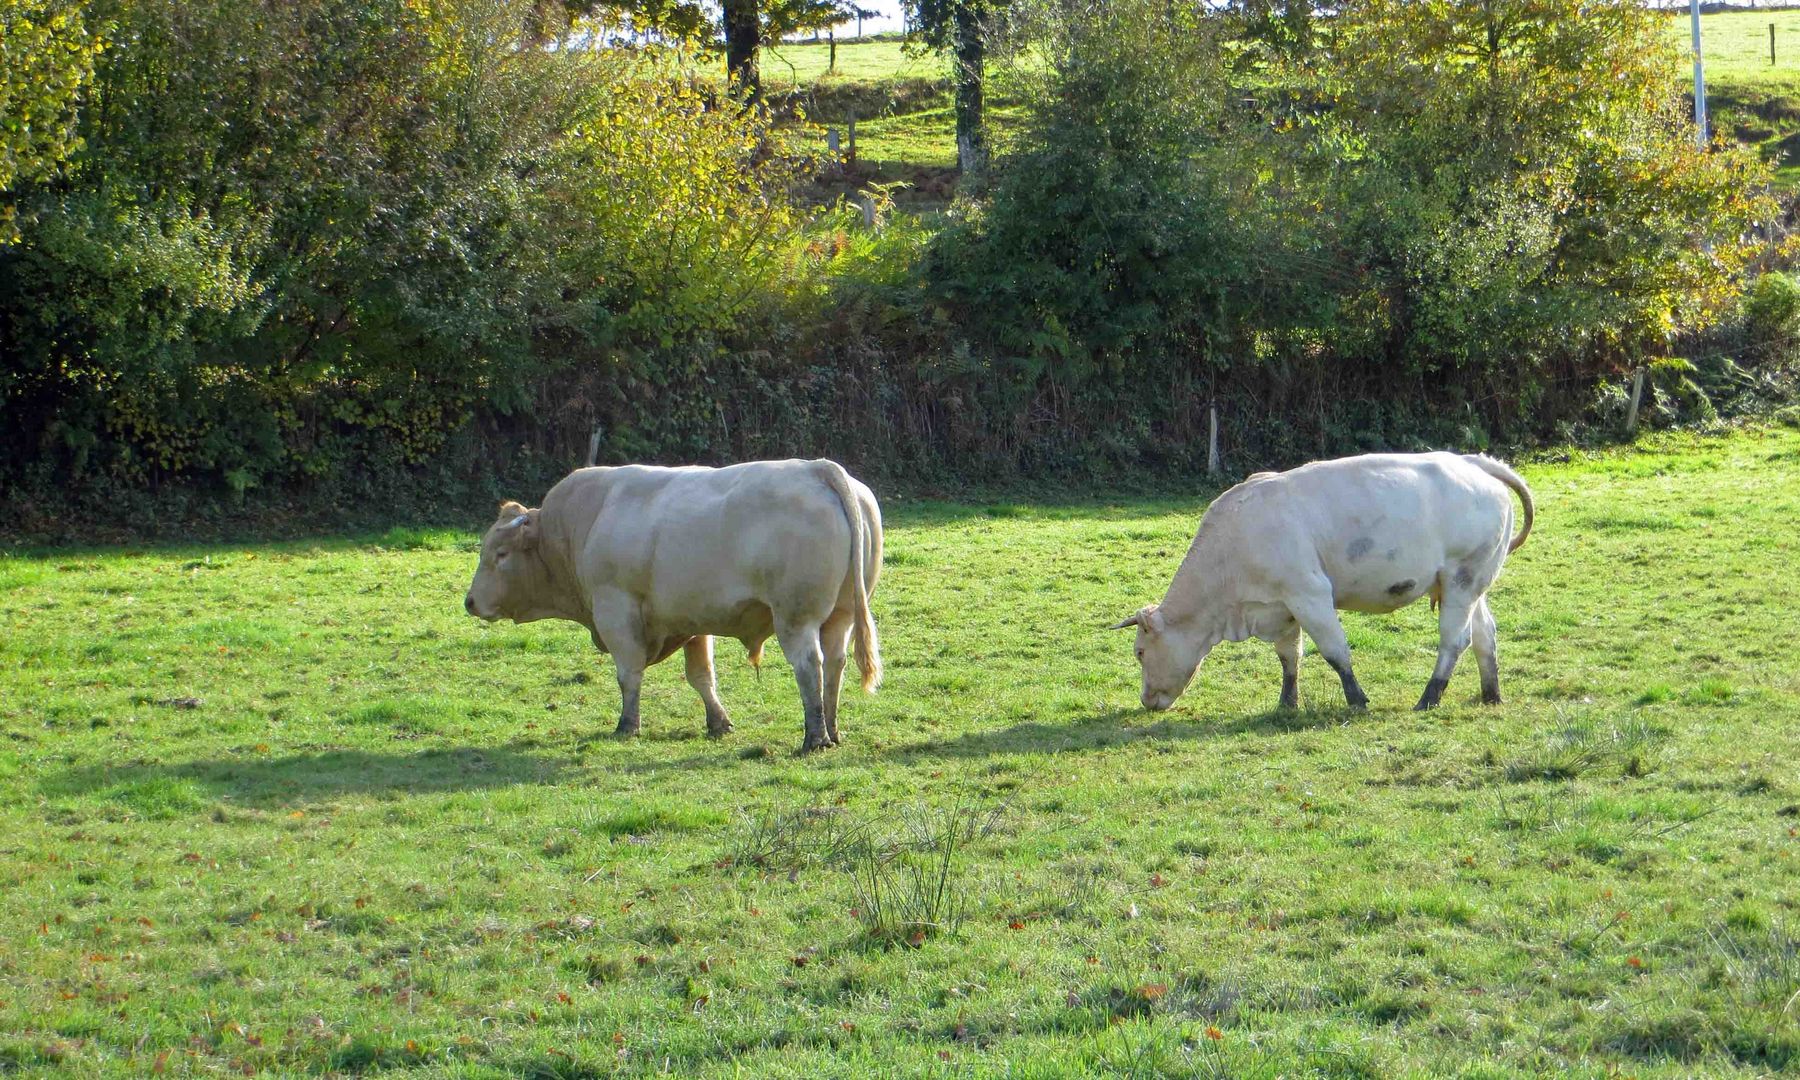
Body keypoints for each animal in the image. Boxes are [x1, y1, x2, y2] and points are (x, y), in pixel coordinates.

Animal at [1108, 451, 1533, 712]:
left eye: (1140, 652)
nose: (1146, 700)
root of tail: (1471, 461)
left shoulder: (1310, 594)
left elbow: (1335, 651)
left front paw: (1357, 700)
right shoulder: (1281, 606)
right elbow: (1289, 657)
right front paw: (1287, 703)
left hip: (1462, 579)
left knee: (1454, 640)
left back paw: (1429, 697)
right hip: (1469, 583)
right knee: (1485, 634)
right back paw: (1491, 694)